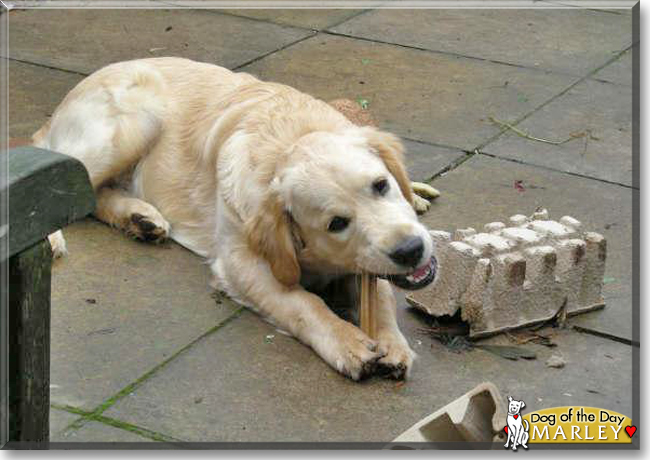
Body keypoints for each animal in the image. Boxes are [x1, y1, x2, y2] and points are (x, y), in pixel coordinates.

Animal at [33, 57, 436, 380]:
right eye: (336, 223)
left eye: (381, 185)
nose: (410, 250)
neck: (288, 138)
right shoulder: (242, 262)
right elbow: (302, 304)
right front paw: (347, 343)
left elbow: (381, 296)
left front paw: (393, 343)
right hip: (132, 125)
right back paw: (54, 239)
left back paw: (141, 218)